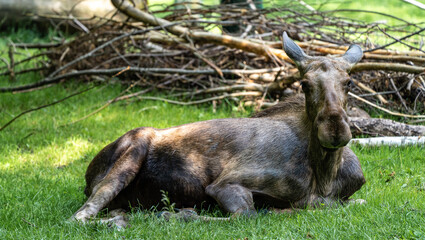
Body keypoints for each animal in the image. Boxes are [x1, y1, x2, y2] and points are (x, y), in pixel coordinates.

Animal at [69, 33, 364, 227]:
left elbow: (340, 204)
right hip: (133, 149)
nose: (335, 129)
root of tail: (87, 177)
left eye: (349, 82)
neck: (325, 174)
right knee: (78, 218)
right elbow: (247, 215)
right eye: (304, 84)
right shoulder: (226, 183)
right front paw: (176, 214)